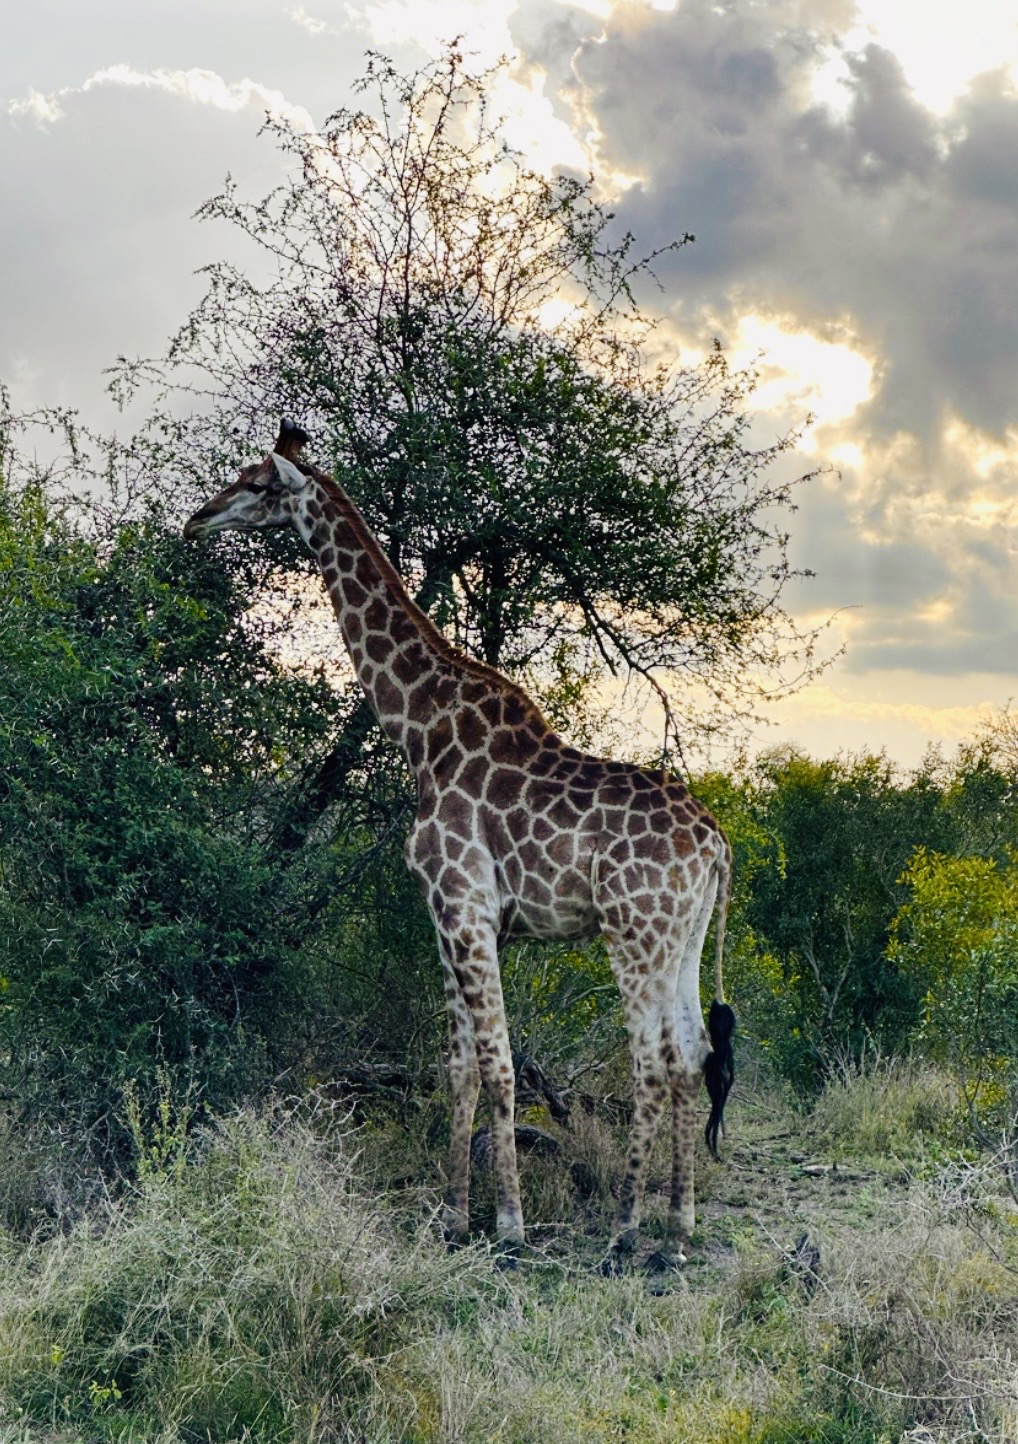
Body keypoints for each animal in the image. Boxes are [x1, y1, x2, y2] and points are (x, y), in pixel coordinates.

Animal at [183, 420, 735, 1268]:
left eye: (254, 483)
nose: (195, 520)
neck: (420, 728)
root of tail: (715, 843)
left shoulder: (466, 905)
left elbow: (501, 1066)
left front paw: (507, 1227)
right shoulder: (449, 916)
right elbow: (457, 1069)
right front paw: (451, 1218)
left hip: (632, 931)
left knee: (654, 1060)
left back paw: (626, 1229)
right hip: (681, 936)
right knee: (693, 1050)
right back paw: (678, 1225)